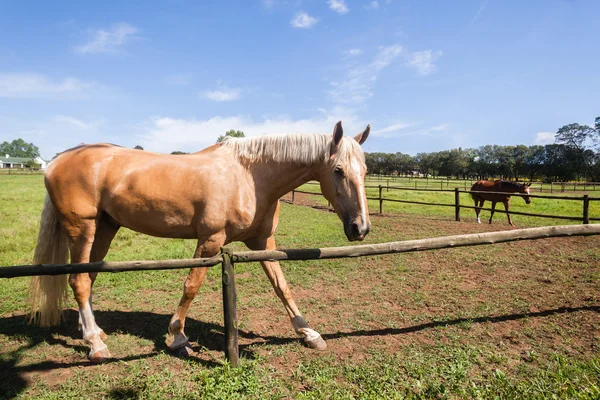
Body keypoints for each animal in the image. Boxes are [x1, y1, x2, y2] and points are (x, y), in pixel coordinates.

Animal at [30, 120, 372, 360]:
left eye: (366, 170)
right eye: (338, 170)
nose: (361, 228)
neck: (250, 176)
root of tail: (57, 161)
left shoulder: (263, 243)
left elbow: (282, 286)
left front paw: (309, 333)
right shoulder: (210, 241)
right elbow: (191, 286)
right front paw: (178, 338)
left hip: (104, 228)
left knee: (87, 277)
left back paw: (92, 331)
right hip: (82, 228)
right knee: (79, 281)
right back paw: (95, 345)